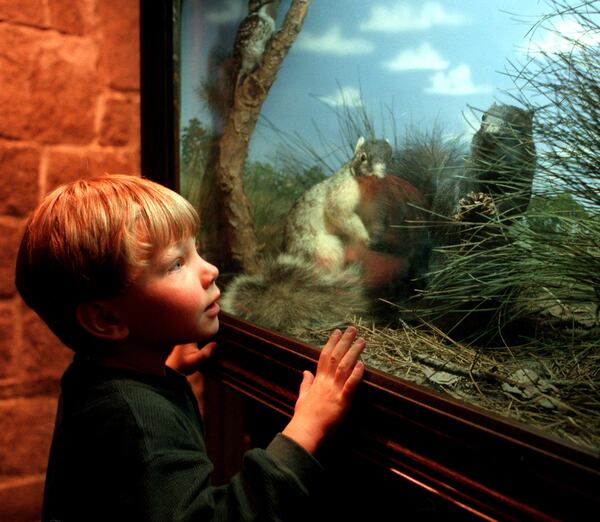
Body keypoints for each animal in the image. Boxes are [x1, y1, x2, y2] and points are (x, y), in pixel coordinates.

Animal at [284, 135, 396, 268]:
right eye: (363, 157)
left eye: (391, 158)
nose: (378, 173)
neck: (368, 186)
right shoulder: (341, 192)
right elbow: (339, 211)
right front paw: (364, 238)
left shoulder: (375, 205)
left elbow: (375, 222)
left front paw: (375, 241)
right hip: (324, 249)